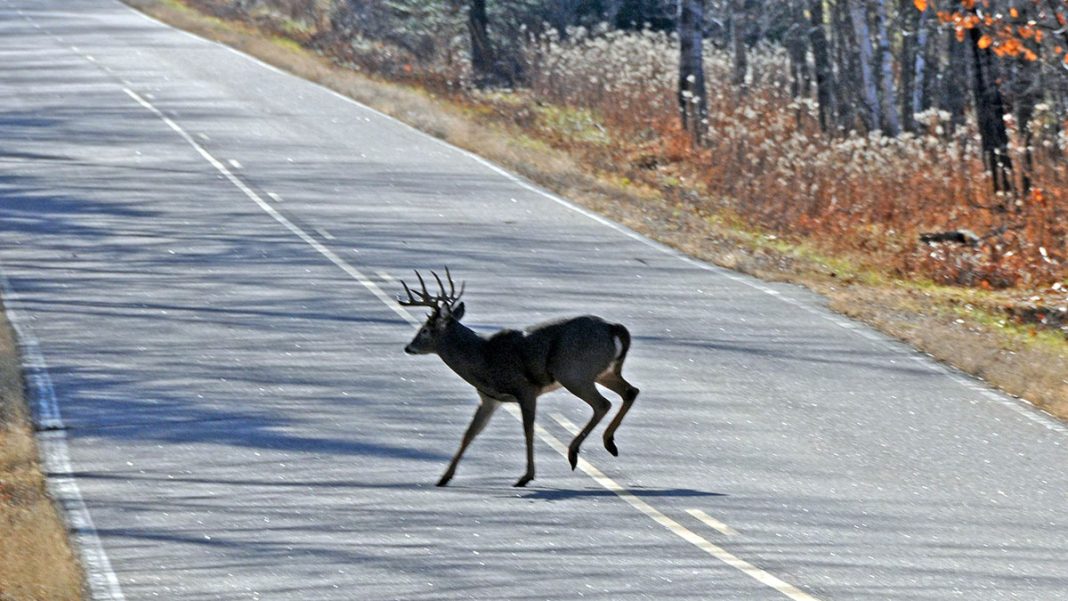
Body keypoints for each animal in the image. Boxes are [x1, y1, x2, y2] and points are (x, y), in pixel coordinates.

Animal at [399, 270, 632, 486]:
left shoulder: (525, 389)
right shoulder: (489, 399)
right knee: (630, 391)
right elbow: (470, 433)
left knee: (603, 403)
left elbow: (528, 430)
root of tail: (614, 328)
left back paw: (575, 452)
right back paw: (608, 442)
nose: (408, 347)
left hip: (573, 372)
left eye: (425, 330)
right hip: (602, 372)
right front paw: (444, 477)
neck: (482, 358)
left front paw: (526, 476)